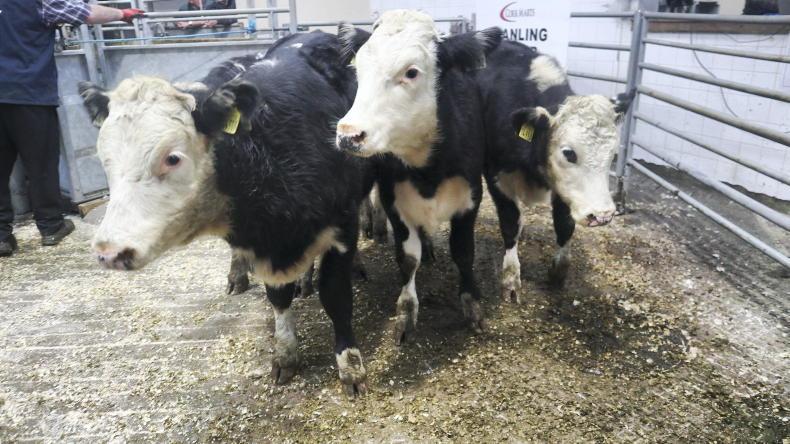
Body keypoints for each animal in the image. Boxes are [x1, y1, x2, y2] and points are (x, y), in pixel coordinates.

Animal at [79, 31, 373, 396]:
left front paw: (351, 367)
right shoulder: (261, 245)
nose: (109, 251)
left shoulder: (342, 226)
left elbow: (336, 296)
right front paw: (285, 354)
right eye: (105, 158)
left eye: (172, 158)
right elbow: (278, 297)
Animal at [335, 10, 502, 344]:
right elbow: (407, 258)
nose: (348, 134)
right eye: (359, 69)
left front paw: (472, 305)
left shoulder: (470, 198)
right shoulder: (394, 201)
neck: (429, 169)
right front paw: (406, 312)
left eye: (411, 72)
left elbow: (463, 252)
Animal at [476, 40, 629, 303]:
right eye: (569, 153)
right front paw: (511, 280)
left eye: (612, 154)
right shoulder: (496, 176)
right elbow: (510, 221)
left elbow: (564, 225)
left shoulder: (563, 187)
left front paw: (559, 270)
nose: (602, 215)